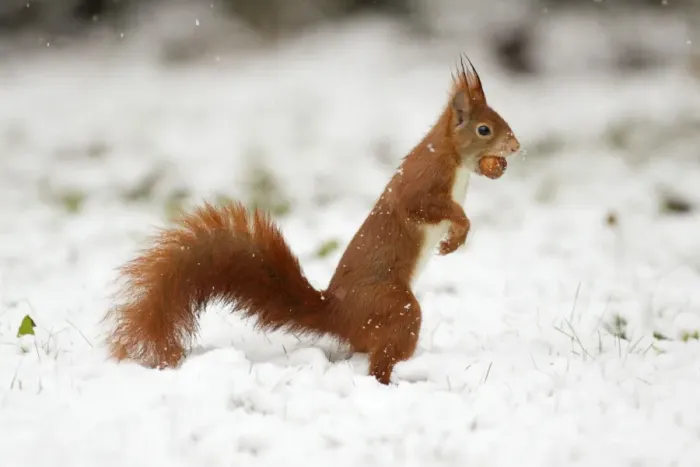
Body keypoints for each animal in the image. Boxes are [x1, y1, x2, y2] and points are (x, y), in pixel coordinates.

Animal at [103, 56, 520, 385]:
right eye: (484, 129)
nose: (515, 147)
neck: (451, 157)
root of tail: (338, 315)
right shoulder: (423, 186)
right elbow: (435, 209)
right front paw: (458, 233)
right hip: (396, 307)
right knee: (381, 361)